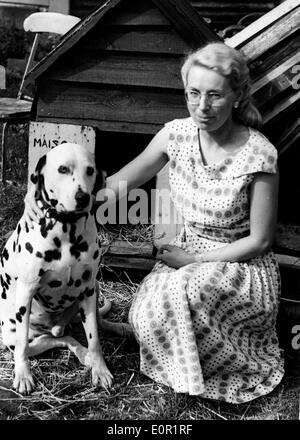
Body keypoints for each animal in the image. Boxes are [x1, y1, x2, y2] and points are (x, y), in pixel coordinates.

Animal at [0, 144, 112, 396]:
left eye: (90, 170)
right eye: (62, 169)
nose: (82, 197)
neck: (67, 229)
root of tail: (53, 327)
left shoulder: (88, 291)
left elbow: (94, 338)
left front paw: (100, 369)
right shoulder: (26, 291)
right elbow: (22, 346)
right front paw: (23, 374)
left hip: (96, 289)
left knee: (67, 336)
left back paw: (85, 354)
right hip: (13, 333)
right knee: (41, 341)